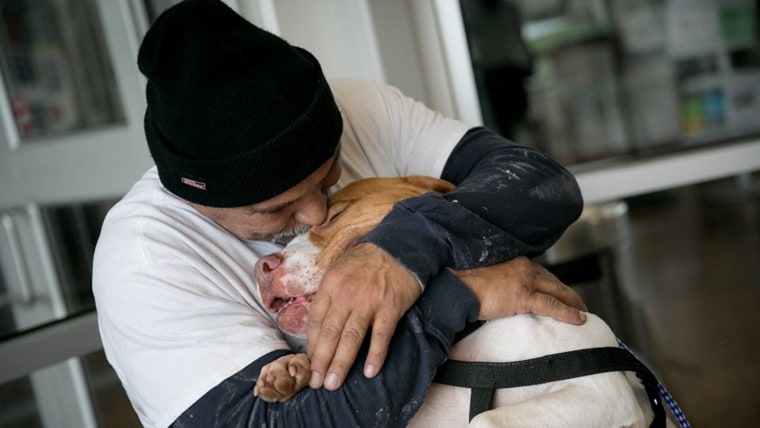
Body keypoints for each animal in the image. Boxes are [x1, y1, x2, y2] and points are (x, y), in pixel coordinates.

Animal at [252, 176, 664, 426]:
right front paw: (291, 368)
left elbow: (483, 419)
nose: (261, 267)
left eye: (334, 215)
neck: (470, 338)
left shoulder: (600, 392)